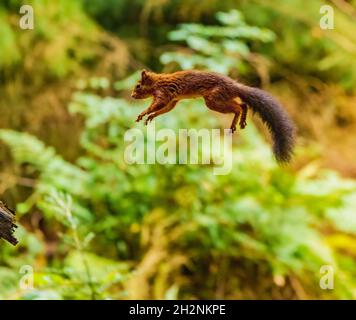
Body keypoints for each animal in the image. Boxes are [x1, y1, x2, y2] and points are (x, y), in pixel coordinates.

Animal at [131, 70, 294, 162]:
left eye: (138, 86)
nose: (132, 95)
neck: (158, 83)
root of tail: (234, 86)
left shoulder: (164, 93)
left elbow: (158, 104)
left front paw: (144, 113)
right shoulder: (173, 100)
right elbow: (165, 109)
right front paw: (152, 116)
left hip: (213, 100)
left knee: (237, 107)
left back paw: (236, 121)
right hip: (221, 98)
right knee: (243, 105)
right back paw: (240, 121)